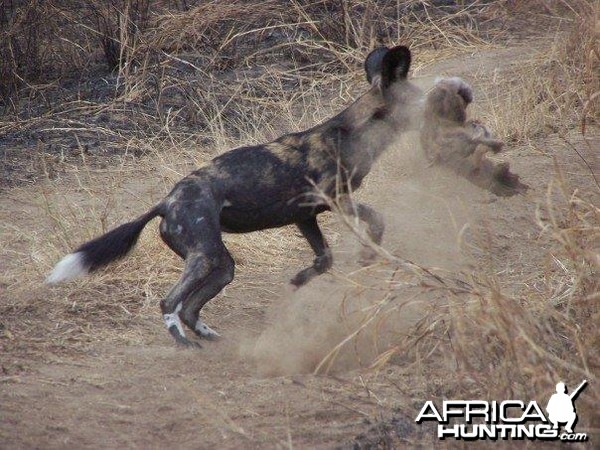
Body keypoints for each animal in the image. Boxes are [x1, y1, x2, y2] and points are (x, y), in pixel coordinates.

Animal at [45, 45, 422, 346]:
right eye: (419, 99)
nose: (437, 104)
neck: (355, 134)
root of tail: (167, 201)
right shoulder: (336, 202)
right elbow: (376, 222)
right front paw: (368, 256)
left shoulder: (306, 215)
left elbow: (324, 259)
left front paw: (299, 280)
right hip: (205, 256)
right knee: (170, 302)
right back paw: (184, 342)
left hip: (220, 265)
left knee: (190, 307)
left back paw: (209, 336)